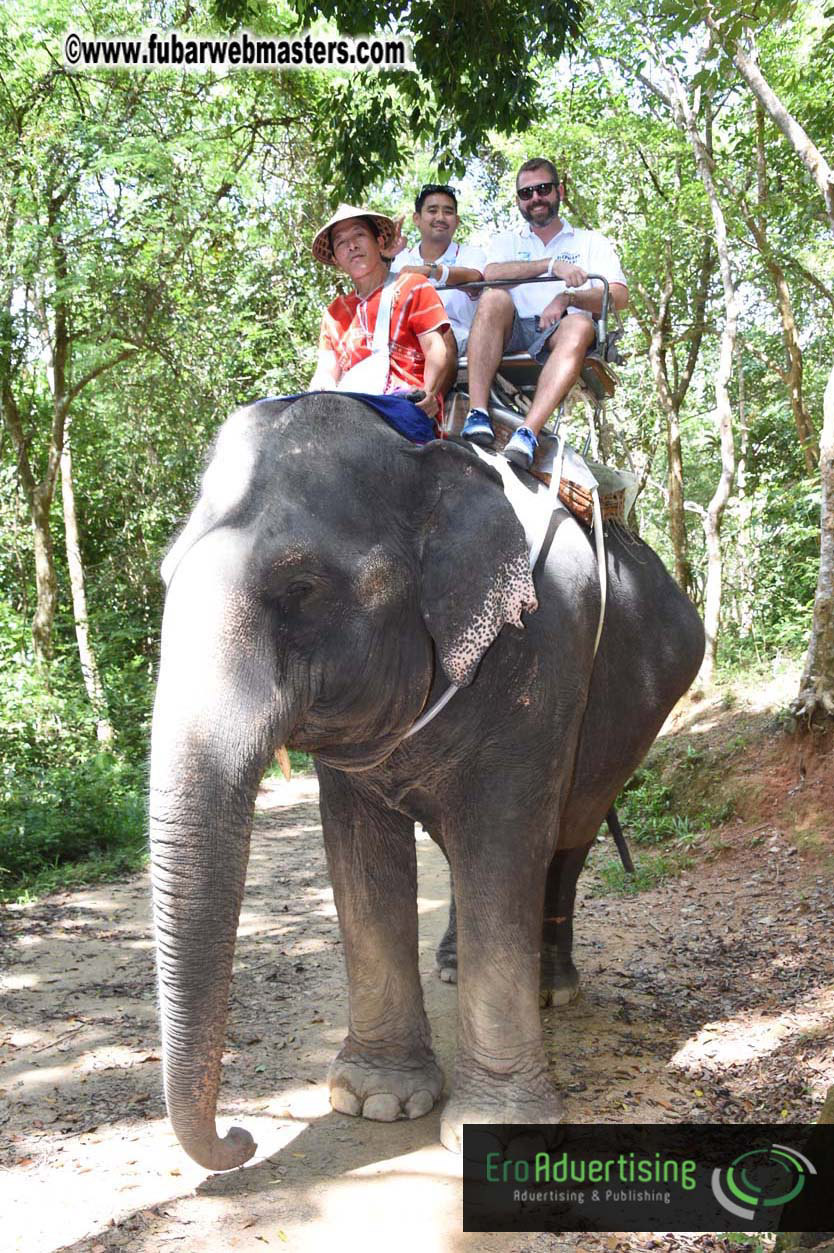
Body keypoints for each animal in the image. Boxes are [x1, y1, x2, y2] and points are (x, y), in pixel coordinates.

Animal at [149, 393, 704, 1171]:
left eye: (301, 588)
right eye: (166, 579)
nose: (242, 1136)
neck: (421, 460)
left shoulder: (542, 651)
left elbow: (503, 844)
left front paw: (494, 1130)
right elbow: (361, 856)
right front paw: (376, 1102)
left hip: (634, 720)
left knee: (568, 839)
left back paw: (551, 989)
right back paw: (453, 966)